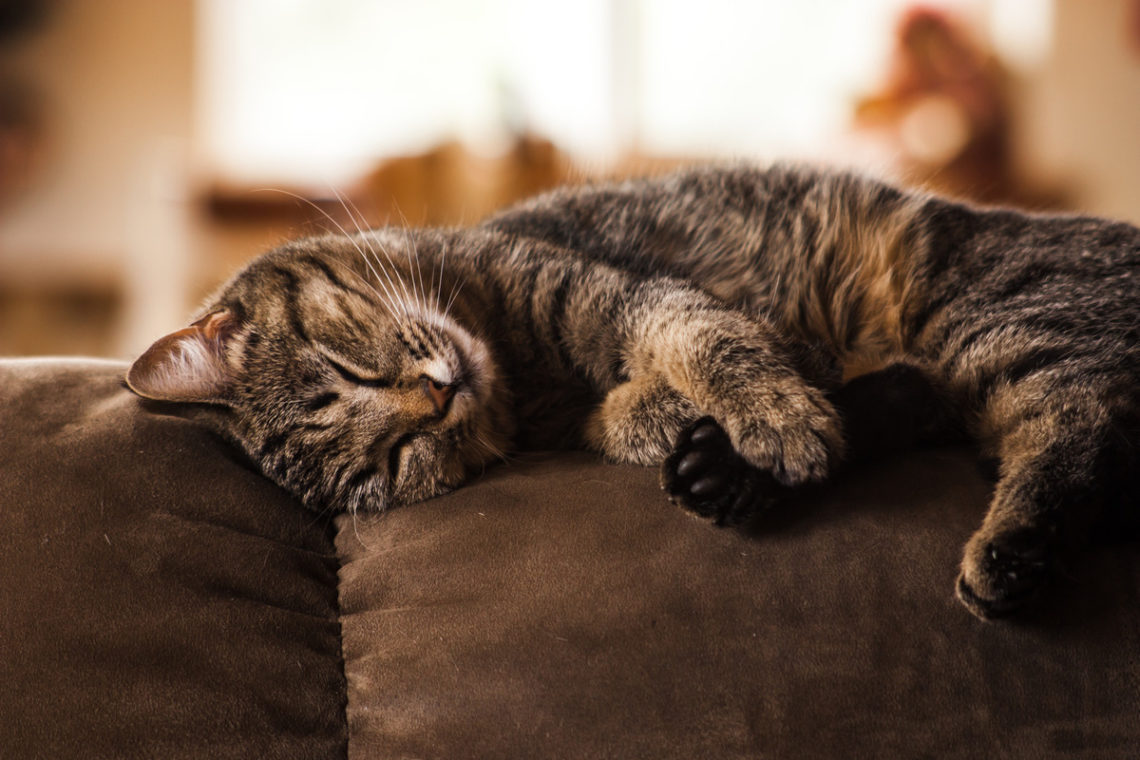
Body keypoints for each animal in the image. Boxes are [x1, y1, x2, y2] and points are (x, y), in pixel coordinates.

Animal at [127, 164, 1140, 619]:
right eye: (393, 459)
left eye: (346, 367)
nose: (436, 400)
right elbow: (622, 418)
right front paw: (693, 426)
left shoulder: (628, 295)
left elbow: (709, 340)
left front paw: (779, 417)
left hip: (993, 317)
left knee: (1079, 415)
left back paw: (1004, 552)